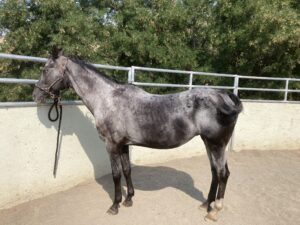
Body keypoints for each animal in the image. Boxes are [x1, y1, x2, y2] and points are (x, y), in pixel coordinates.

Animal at [32, 49, 243, 221]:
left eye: (45, 69)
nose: (36, 95)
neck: (108, 99)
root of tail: (224, 95)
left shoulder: (112, 145)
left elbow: (116, 175)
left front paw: (115, 205)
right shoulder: (124, 145)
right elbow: (127, 170)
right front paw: (129, 199)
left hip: (217, 144)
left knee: (223, 174)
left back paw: (214, 212)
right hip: (209, 143)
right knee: (215, 172)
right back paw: (206, 205)